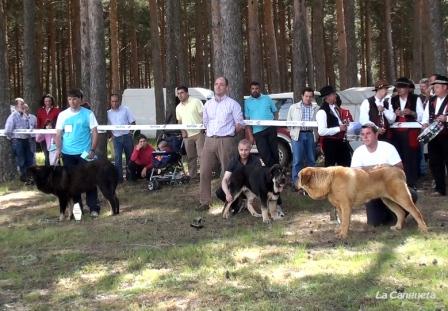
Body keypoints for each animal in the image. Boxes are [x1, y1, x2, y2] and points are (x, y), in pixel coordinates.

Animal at [298, 167, 428, 240]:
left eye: (298, 177)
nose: (294, 181)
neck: (330, 180)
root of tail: (400, 171)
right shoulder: (340, 208)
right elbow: (342, 221)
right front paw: (341, 231)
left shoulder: (345, 206)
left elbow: (345, 222)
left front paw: (343, 235)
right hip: (388, 200)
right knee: (400, 212)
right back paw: (398, 227)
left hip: (402, 197)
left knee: (416, 212)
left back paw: (423, 229)